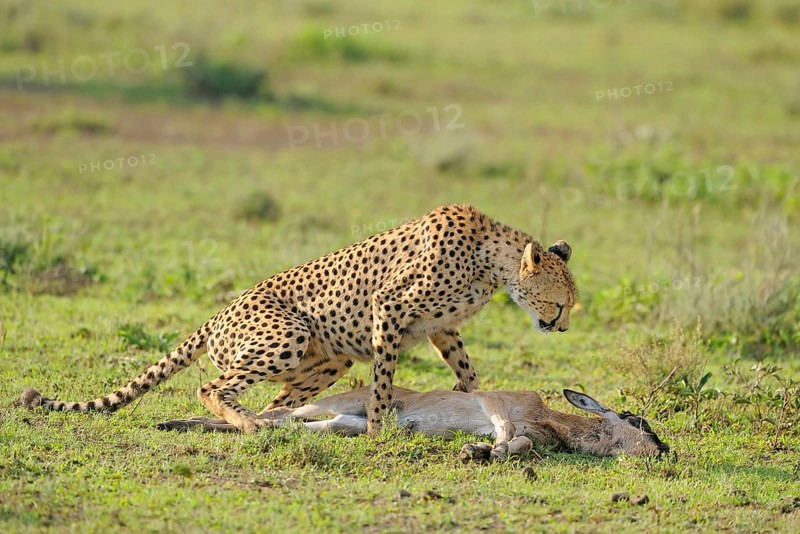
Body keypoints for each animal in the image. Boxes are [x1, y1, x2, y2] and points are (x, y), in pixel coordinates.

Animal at [20, 204, 577, 436]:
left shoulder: (440, 327)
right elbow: (383, 379)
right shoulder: (389, 307)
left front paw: (463, 401)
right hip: (290, 332)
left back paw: (254, 422)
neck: (491, 261)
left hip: (325, 361)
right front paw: (380, 428)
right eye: (561, 303)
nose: (562, 327)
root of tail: (216, 315)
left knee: (277, 404)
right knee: (213, 387)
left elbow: (467, 372)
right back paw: (246, 423)